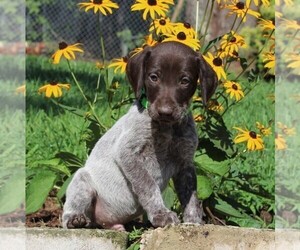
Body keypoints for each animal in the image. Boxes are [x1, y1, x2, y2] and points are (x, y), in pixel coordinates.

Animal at [62, 41, 217, 230]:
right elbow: (148, 185)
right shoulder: (127, 152)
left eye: (184, 81)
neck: (167, 128)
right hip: (82, 180)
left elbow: (191, 197)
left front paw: (193, 221)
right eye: (154, 77)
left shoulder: (185, 163)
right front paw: (161, 214)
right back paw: (74, 219)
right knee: (69, 212)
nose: (165, 112)